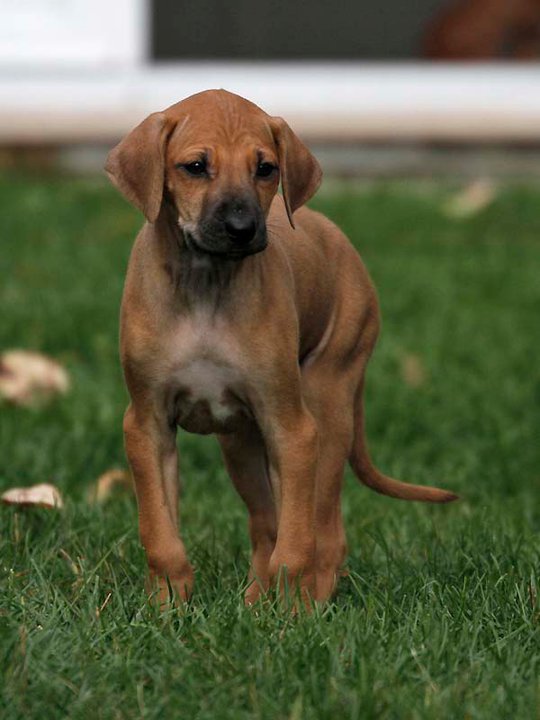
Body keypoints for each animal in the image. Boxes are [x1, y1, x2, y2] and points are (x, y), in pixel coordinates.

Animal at [105, 89, 457, 609]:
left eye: (266, 168)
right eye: (195, 166)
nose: (242, 227)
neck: (206, 286)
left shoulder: (292, 430)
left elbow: (296, 542)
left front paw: (291, 614)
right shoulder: (147, 425)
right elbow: (160, 530)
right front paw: (168, 605)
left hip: (328, 407)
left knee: (324, 531)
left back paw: (309, 603)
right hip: (242, 444)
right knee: (265, 524)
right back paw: (253, 600)